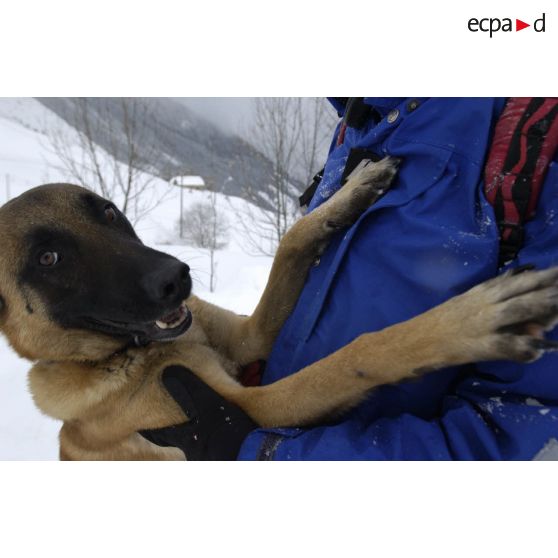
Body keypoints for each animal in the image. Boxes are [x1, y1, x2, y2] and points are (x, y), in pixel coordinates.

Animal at [1, 156, 558, 460]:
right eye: (48, 258)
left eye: (110, 212)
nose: (176, 279)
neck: (130, 354)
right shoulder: (256, 410)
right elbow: (357, 355)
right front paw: (470, 321)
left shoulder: (248, 338)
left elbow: (292, 242)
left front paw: (349, 194)